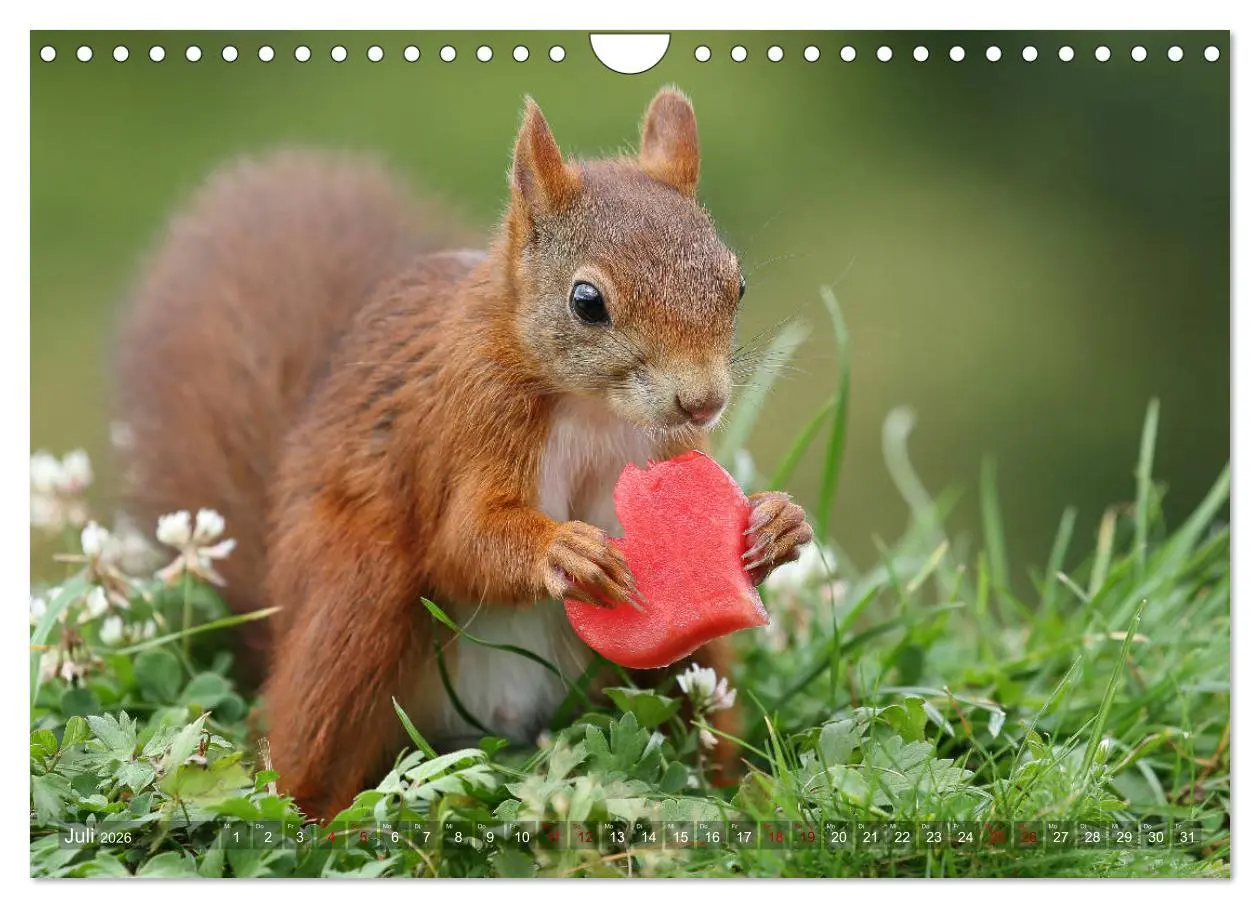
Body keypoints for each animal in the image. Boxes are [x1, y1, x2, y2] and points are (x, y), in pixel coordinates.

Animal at [113, 87, 813, 819]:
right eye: (587, 301)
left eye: (736, 284)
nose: (702, 402)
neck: (592, 408)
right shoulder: (470, 421)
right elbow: (462, 541)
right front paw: (563, 552)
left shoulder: (664, 446)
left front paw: (776, 523)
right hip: (356, 600)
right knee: (304, 747)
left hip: (685, 670)